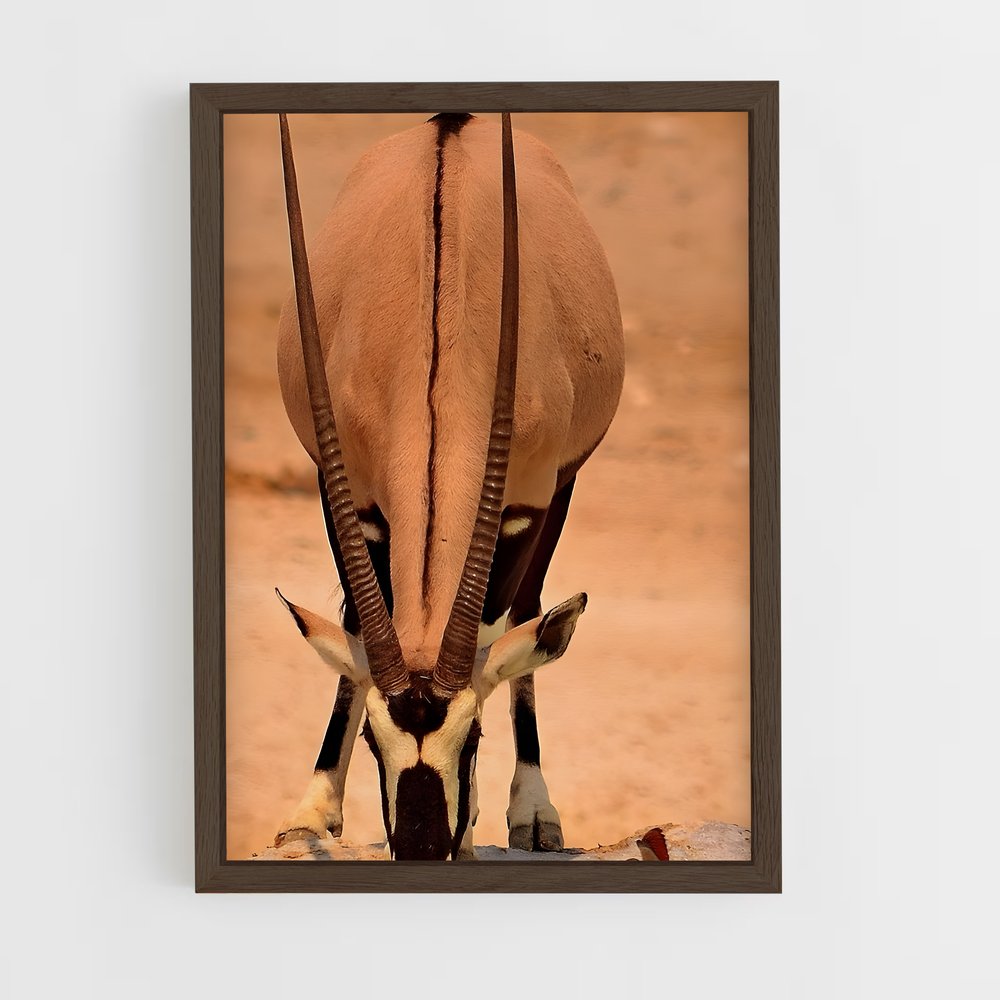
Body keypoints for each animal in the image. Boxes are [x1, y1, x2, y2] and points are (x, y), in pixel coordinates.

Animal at [272, 111, 624, 860]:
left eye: (474, 735)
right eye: (373, 739)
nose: (425, 846)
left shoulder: (531, 502)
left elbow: (507, 630)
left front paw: (518, 813)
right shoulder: (349, 495)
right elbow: (354, 625)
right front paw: (312, 812)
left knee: (531, 609)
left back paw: (534, 811)